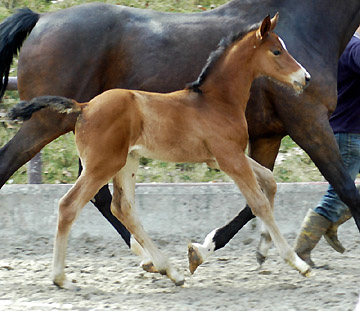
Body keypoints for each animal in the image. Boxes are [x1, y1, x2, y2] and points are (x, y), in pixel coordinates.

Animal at [10, 14, 310, 288]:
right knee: (69, 205)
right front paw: (297, 263)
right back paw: (61, 278)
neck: (216, 102)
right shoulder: (230, 159)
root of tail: (84, 107)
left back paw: (169, 270)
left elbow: (269, 182)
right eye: (276, 51)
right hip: (103, 165)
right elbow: (259, 203)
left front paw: (262, 249)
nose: (305, 78)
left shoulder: (223, 157)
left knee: (123, 208)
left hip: (127, 162)